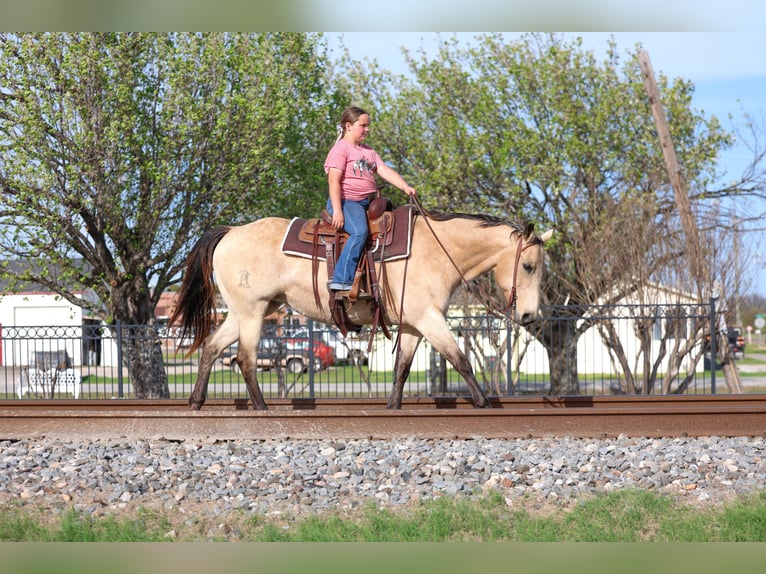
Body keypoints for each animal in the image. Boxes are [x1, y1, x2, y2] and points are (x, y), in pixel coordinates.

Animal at [170, 210, 553, 410]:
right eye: (529, 266)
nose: (529, 316)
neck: (437, 250)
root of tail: (230, 232)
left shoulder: (413, 324)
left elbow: (402, 368)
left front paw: (393, 407)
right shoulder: (430, 318)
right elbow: (461, 360)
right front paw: (485, 403)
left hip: (244, 312)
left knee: (212, 349)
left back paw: (196, 402)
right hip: (253, 312)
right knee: (246, 360)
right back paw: (261, 409)